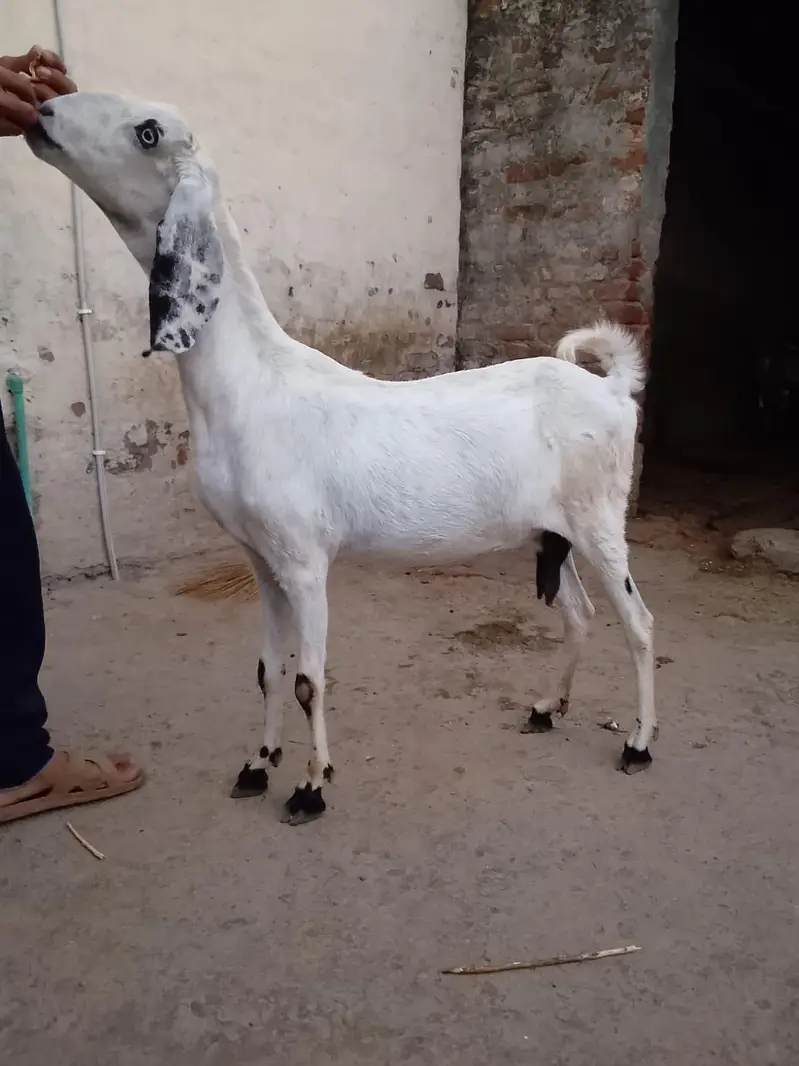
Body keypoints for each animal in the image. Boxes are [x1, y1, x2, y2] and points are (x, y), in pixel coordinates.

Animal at [26, 93, 656, 823]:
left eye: (148, 132)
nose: (42, 111)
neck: (255, 383)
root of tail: (611, 388)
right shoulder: (260, 560)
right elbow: (267, 670)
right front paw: (256, 766)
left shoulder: (304, 563)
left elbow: (308, 680)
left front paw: (310, 786)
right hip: (551, 531)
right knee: (579, 615)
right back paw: (548, 708)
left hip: (599, 522)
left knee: (639, 625)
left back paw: (639, 744)